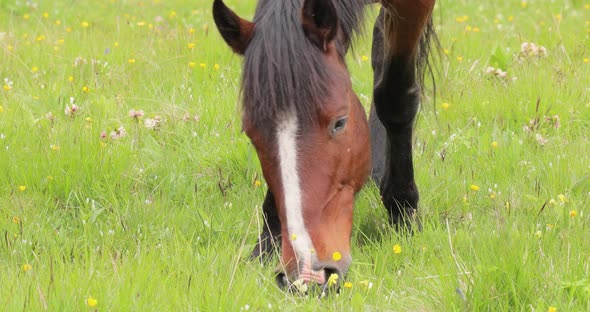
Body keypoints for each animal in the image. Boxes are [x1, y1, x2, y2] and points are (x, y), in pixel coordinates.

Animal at [215, 0, 438, 290]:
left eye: (339, 123)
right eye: (251, 134)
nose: (308, 272)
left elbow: (394, 95)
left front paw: (402, 211)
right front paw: (268, 241)